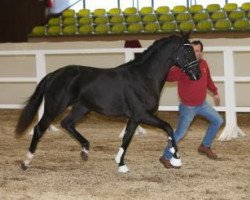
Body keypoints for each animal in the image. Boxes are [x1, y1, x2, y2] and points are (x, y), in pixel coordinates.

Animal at [16, 33, 201, 173]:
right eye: (188, 50)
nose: (197, 75)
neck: (144, 77)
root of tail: (54, 74)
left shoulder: (134, 118)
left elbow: (127, 138)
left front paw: (121, 164)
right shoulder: (143, 114)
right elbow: (168, 127)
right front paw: (176, 159)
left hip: (82, 108)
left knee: (67, 123)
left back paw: (85, 150)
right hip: (54, 107)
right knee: (39, 128)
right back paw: (26, 161)